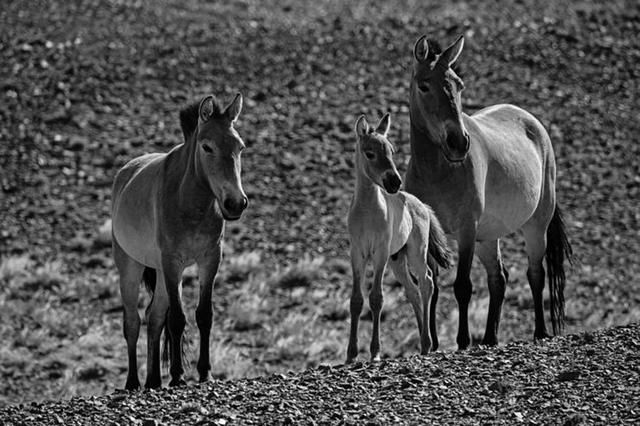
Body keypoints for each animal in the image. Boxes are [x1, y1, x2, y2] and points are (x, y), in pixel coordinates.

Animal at [112, 93, 248, 390]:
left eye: (240, 147)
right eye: (207, 147)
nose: (235, 203)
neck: (189, 203)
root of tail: (125, 173)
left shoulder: (210, 260)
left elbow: (203, 315)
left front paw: (205, 372)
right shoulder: (173, 263)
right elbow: (176, 319)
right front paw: (177, 376)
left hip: (161, 273)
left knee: (153, 319)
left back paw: (153, 381)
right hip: (130, 266)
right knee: (132, 322)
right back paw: (133, 382)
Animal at [348, 114, 452, 362]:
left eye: (392, 151)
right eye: (370, 153)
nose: (394, 182)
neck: (367, 212)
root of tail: (421, 204)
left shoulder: (380, 254)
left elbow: (376, 298)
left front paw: (375, 353)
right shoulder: (357, 253)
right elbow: (356, 300)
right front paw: (351, 355)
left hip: (416, 252)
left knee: (426, 282)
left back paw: (427, 343)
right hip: (397, 260)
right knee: (413, 290)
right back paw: (423, 342)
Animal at [408, 35, 572, 350]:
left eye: (459, 85)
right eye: (424, 85)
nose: (458, 142)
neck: (438, 171)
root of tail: (531, 120)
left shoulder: (467, 230)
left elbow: (462, 286)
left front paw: (462, 341)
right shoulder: (431, 233)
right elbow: (431, 286)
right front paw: (432, 344)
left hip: (535, 225)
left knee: (536, 274)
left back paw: (540, 331)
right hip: (488, 237)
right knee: (499, 278)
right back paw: (490, 338)